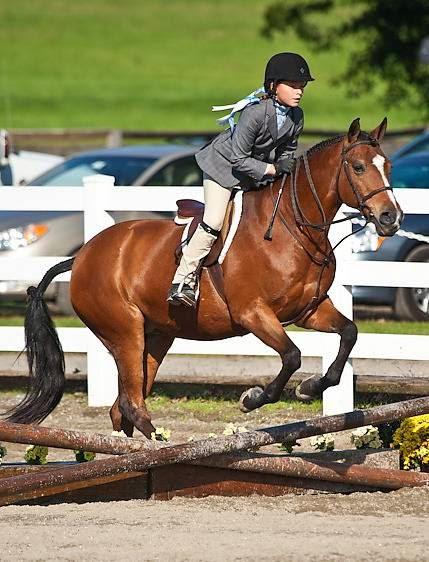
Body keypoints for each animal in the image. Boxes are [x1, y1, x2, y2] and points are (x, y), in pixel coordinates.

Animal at [5, 118, 402, 438]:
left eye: (388, 166)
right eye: (358, 167)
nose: (390, 219)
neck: (294, 228)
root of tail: (82, 256)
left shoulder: (309, 310)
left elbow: (349, 333)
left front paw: (311, 387)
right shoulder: (253, 313)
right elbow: (291, 355)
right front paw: (252, 398)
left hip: (157, 337)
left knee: (123, 406)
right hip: (124, 332)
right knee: (131, 402)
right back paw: (160, 442)